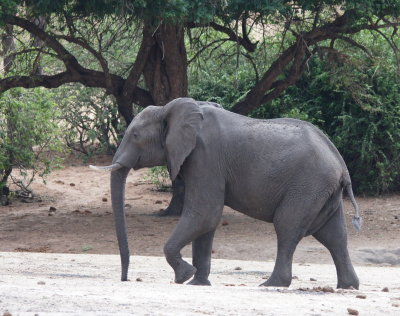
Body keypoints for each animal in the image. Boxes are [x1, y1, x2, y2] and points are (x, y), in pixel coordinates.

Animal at [91, 97, 362, 290]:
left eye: (135, 135)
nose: (125, 279)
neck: (170, 108)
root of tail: (341, 164)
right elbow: (206, 221)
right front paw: (198, 282)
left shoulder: (204, 156)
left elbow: (204, 213)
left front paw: (184, 276)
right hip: (322, 190)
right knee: (334, 235)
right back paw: (348, 286)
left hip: (307, 185)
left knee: (288, 227)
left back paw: (271, 284)